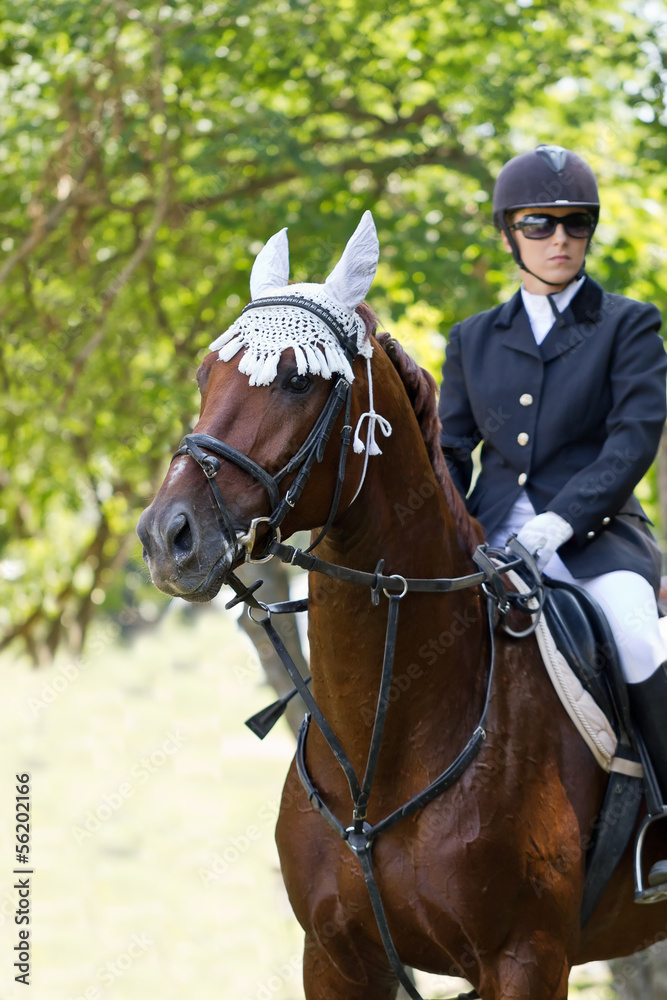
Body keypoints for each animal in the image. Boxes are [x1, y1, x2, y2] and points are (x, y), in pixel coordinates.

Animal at [137, 212, 667, 1000]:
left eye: (297, 379)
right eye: (207, 374)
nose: (166, 538)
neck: (381, 759)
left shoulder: (527, 958)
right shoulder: (333, 958)